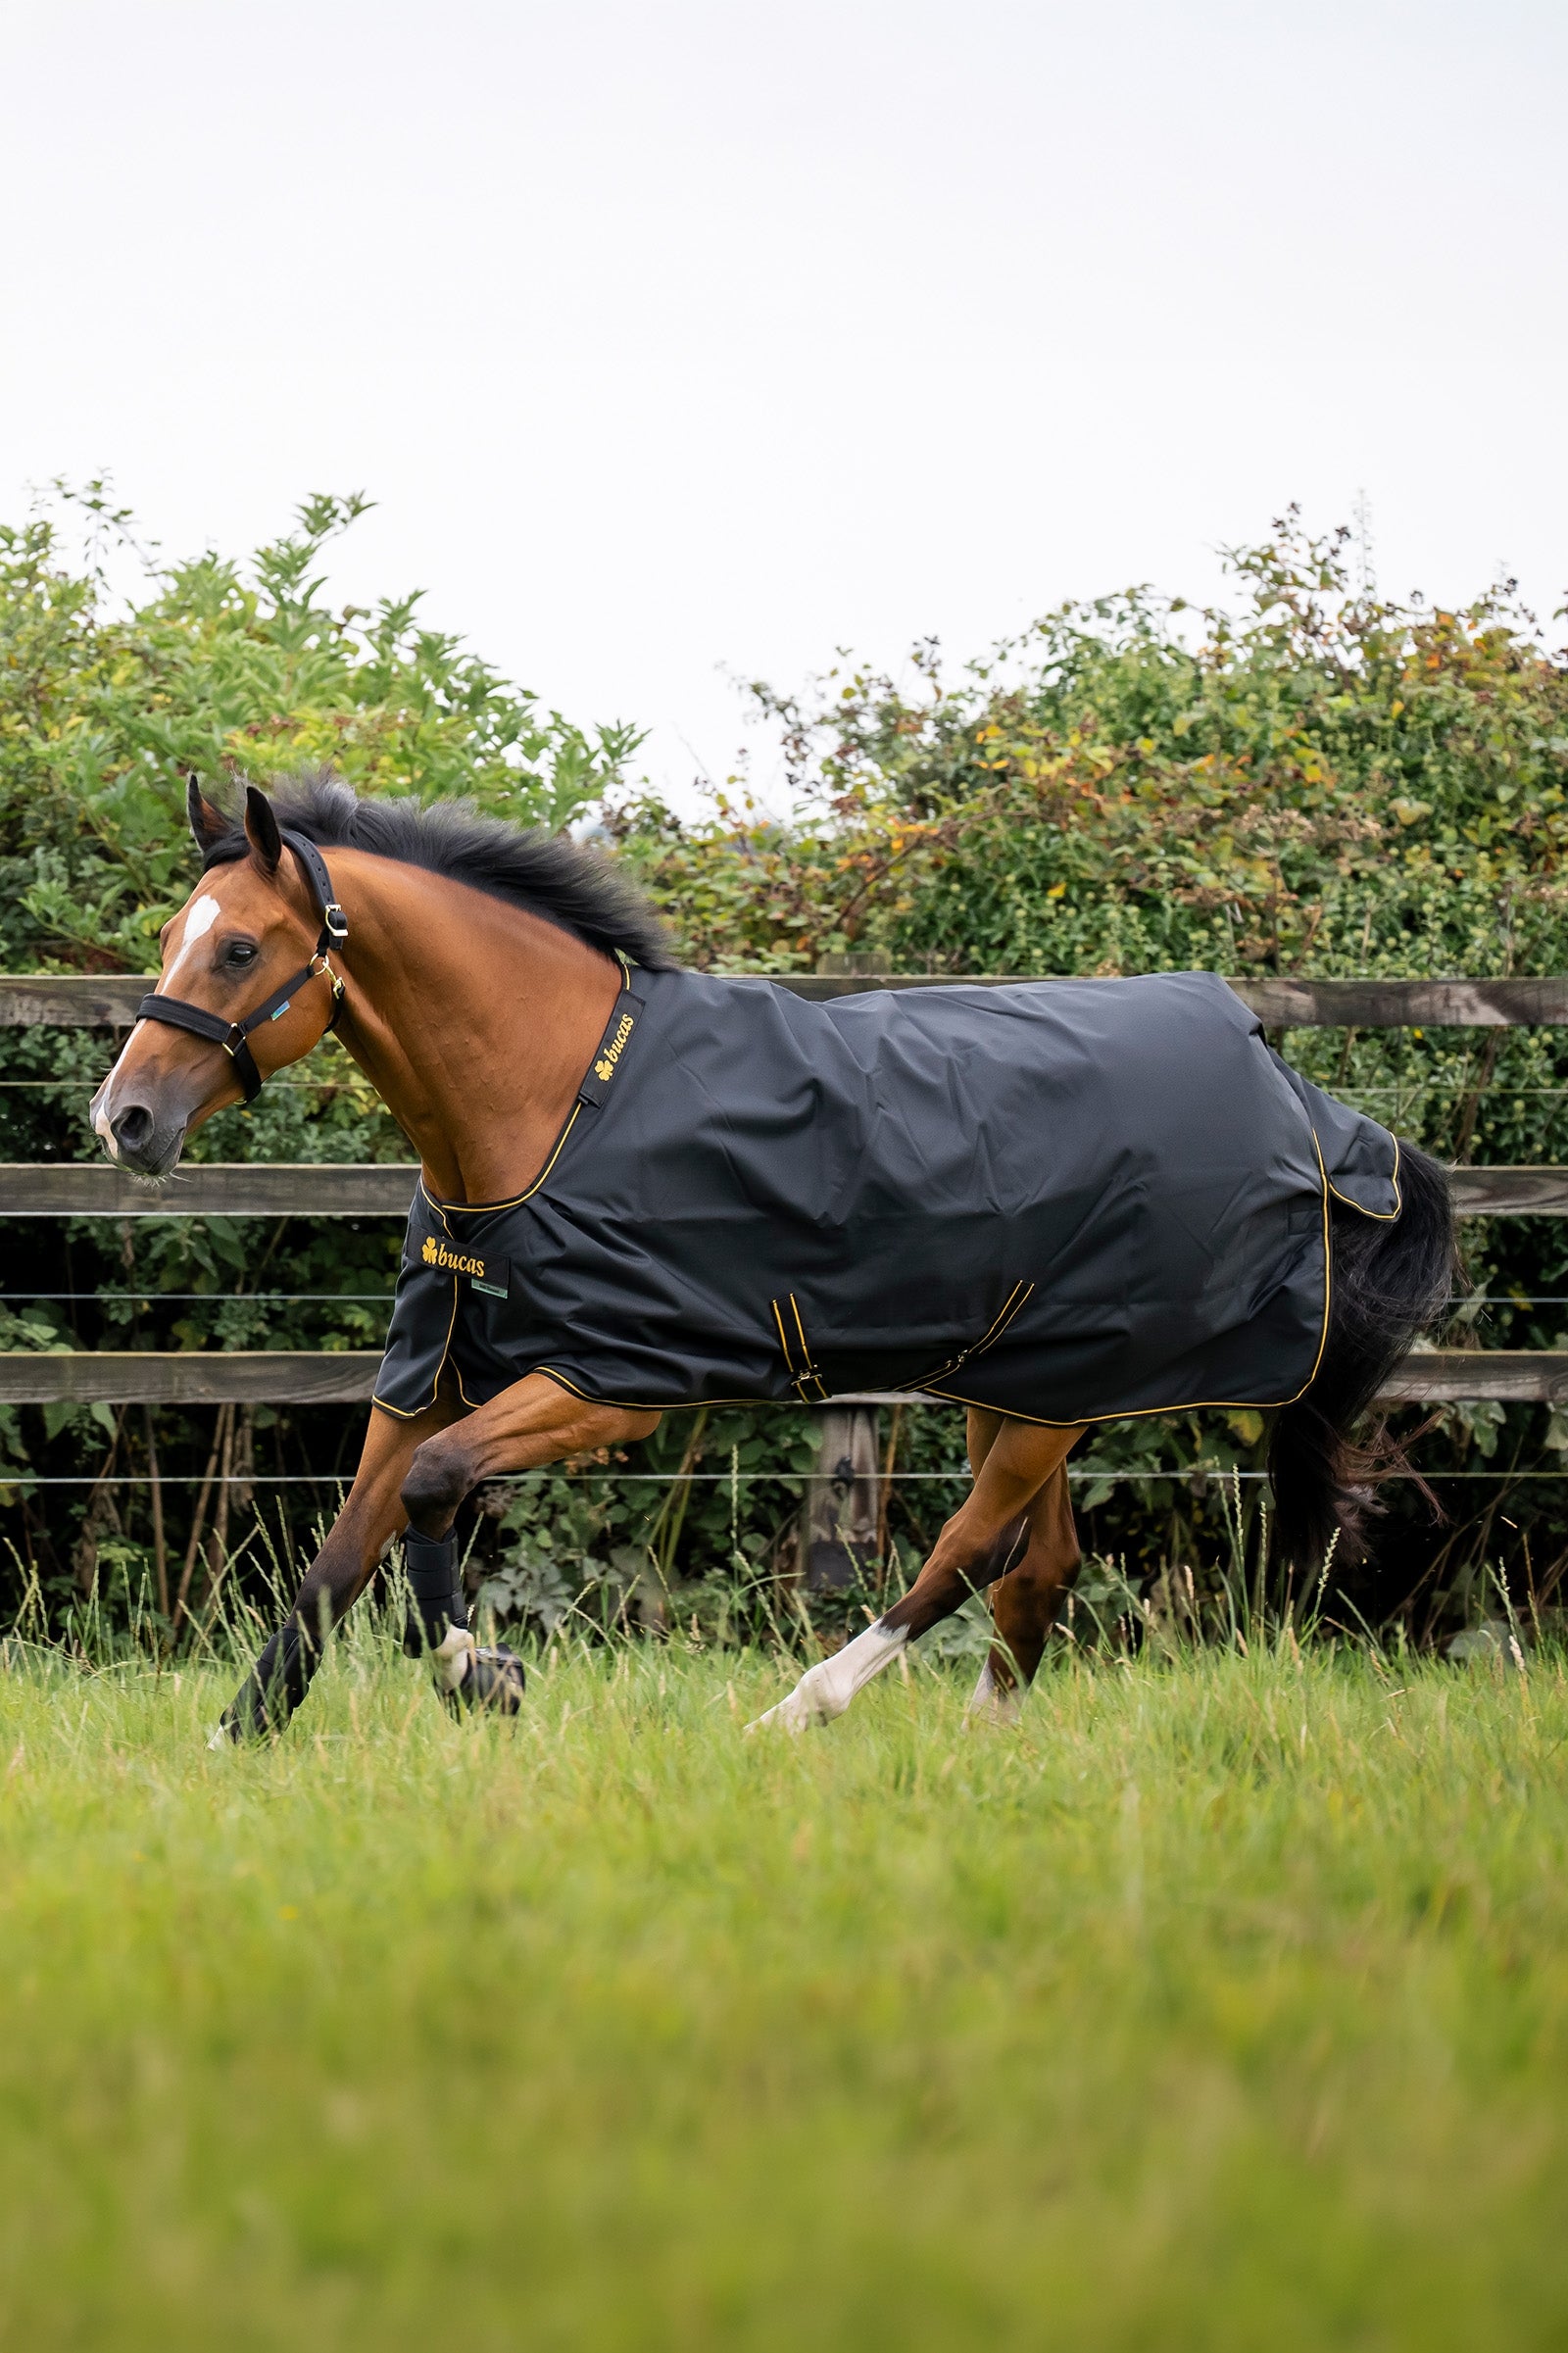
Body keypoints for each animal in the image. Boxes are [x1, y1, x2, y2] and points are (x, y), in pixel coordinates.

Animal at [88, 774, 1456, 1738]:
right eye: (169, 935)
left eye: (239, 948)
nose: (125, 1121)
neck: (557, 1102)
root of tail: (1296, 1095)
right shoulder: (428, 1379)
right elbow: (335, 1565)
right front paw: (236, 1743)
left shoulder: (609, 1386)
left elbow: (434, 1493)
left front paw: (486, 1674)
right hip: (1028, 1376)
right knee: (1037, 1565)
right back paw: (980, 1741)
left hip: (1059, 1388)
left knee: (971, 1551)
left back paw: (802, 1708)